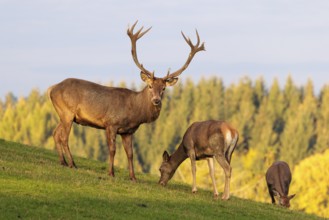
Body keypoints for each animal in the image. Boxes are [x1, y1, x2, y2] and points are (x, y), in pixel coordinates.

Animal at [47, 21, 204, 180]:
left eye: (164, 88)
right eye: (150, 86)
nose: (156, 100)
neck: (134, 112)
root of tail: (52, 89)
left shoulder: (128, 132)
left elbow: (130, 154)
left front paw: (133, 177)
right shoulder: (111, 123)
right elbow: (112, 150)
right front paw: (111, 172)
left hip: (63, 114)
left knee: (55, 133)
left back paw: (63, 162)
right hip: (67, 112)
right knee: (64, 137)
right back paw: (72, 164)